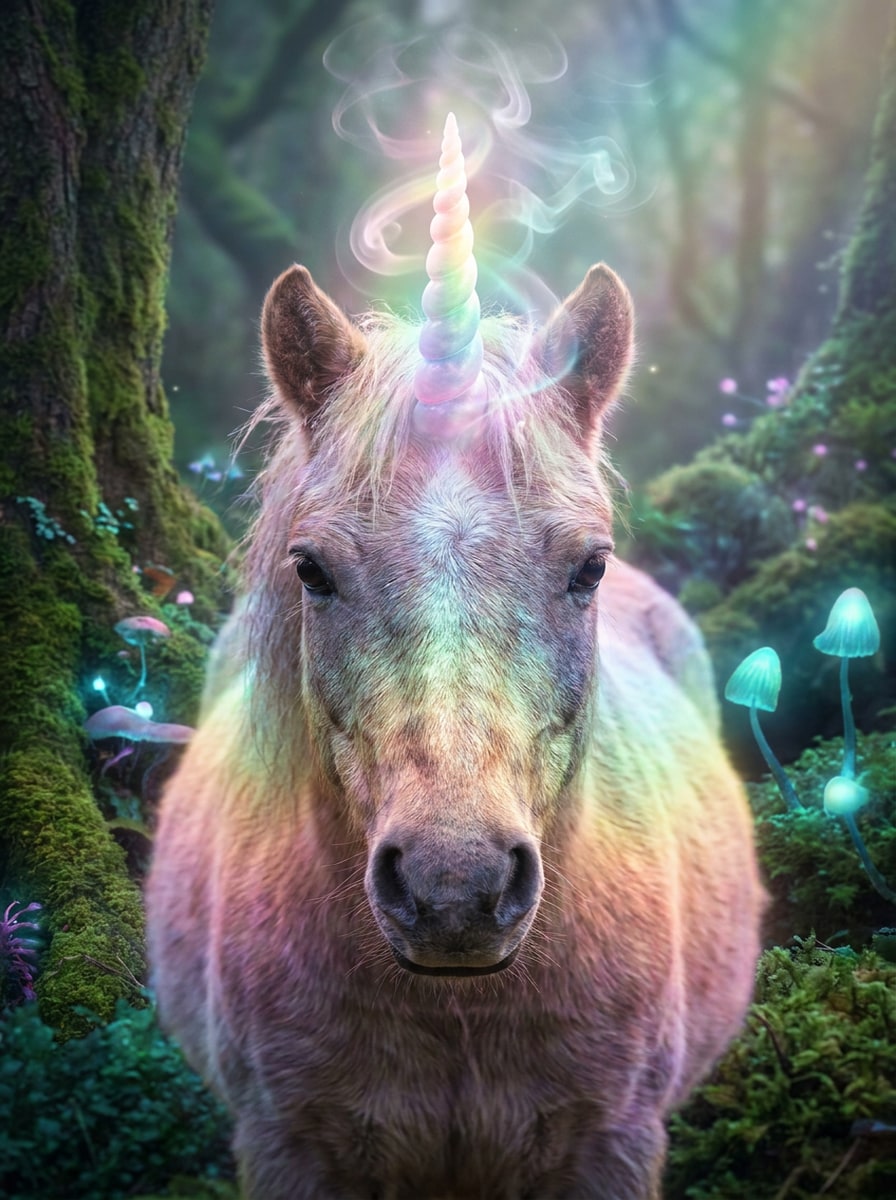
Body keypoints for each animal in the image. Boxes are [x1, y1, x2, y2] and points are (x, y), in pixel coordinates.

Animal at [147, 118, 764, 1200]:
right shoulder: (288, 1146)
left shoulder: (612, 1145)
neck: (455, 1015)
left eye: (588, 566)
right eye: (311, 569)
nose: (454, 890)